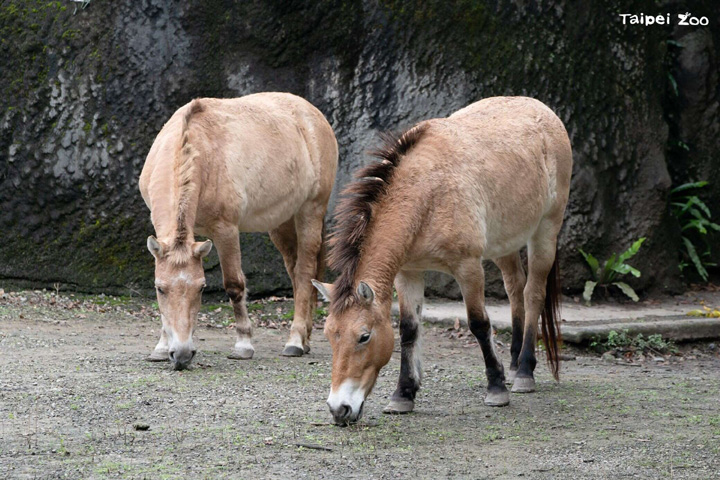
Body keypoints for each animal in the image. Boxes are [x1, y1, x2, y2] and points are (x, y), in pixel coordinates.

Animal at [139, 92, 338, 370]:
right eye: (160, 289)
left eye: (201, 288)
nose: (181, 355)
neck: (199, 151)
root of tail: (312, 114)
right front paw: (160, 347)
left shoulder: (226, 230)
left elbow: (234, 285)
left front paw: (243, 345)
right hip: (281, 222)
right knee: (296, 271)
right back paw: (305, 338)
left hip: (310, 211)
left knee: (305, 271)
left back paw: (296, 341)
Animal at [312, 96, 572, 424]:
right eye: (329, 335)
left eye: (364, 337)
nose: (339, 409)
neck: (426, 194)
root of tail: (543, 110)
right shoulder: (408, 272)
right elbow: (409, 329)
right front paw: (403, 394)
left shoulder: (468, 267)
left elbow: (479, 323)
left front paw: (496, 388)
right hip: (505, 244)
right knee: (515, 289)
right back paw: (514, 365)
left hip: (545, 231)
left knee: (533, 292)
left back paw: (524, 372)